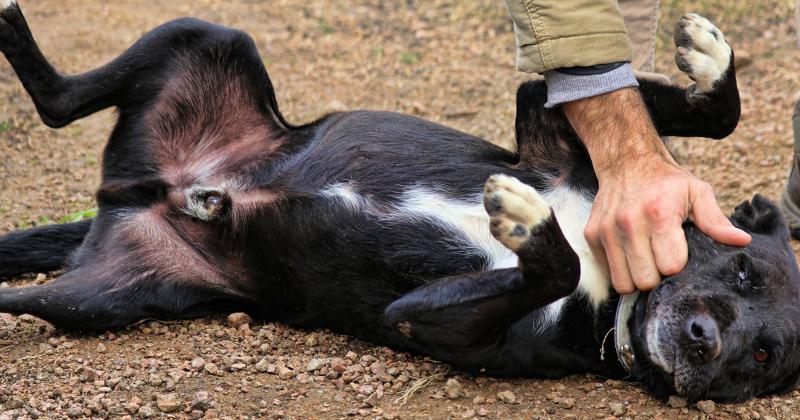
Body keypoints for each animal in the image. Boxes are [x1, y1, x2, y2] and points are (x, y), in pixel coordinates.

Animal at [1, 1, 800, 402]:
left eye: (761, 357)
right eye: (742, 272)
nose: (704, 340)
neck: (618, 300)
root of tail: (134, 189)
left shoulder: (427, 320)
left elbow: (557, 265)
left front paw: (530, 224)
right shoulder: (544, 129)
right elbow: (700, 115)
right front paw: (711, 61)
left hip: (101, 299)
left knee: (30, 274)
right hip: (205, 36)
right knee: (60, 100)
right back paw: (14, 28)